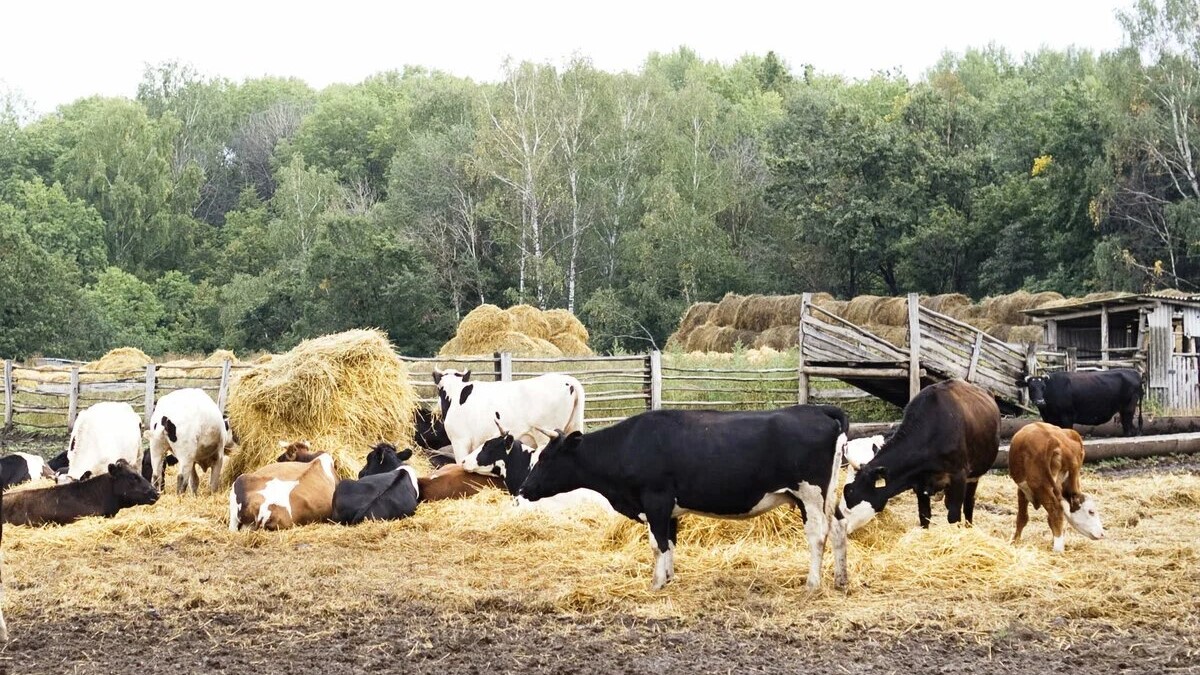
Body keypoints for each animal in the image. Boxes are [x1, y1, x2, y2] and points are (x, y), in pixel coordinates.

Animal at [432, 367, 585, 461]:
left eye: (439, 389)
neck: (455, 392)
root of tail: (569, 381)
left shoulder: (460, 442)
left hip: (545, 435)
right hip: (574, 427)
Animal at [520, 403, 849, 588]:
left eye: (546, 458)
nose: (524, 489)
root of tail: (816, 409)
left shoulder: (655, 500)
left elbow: (657, 544)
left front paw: (656, 584)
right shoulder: (669, 509)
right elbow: (670, 543)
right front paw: (669, 578)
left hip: (809, 495)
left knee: (817, 536)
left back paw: (813, 583)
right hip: (826, 496)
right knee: (838, 528)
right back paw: (840, 580)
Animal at [844, 381, 1003, 533]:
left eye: (850, 498)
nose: (843, 528)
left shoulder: (959, 476)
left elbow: (953, 516)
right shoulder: (920, 482)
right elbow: (924, 516)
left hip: (974, 475)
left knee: (969, 503)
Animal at [1008, 422, 1099, 550]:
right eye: (1091, 512)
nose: (1101, 534)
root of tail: (1053, 440)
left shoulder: (1022, 490)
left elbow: (1022, 517)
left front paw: (1015, 541)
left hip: (1041, 486)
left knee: (1055, 511)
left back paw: (1057, 549)